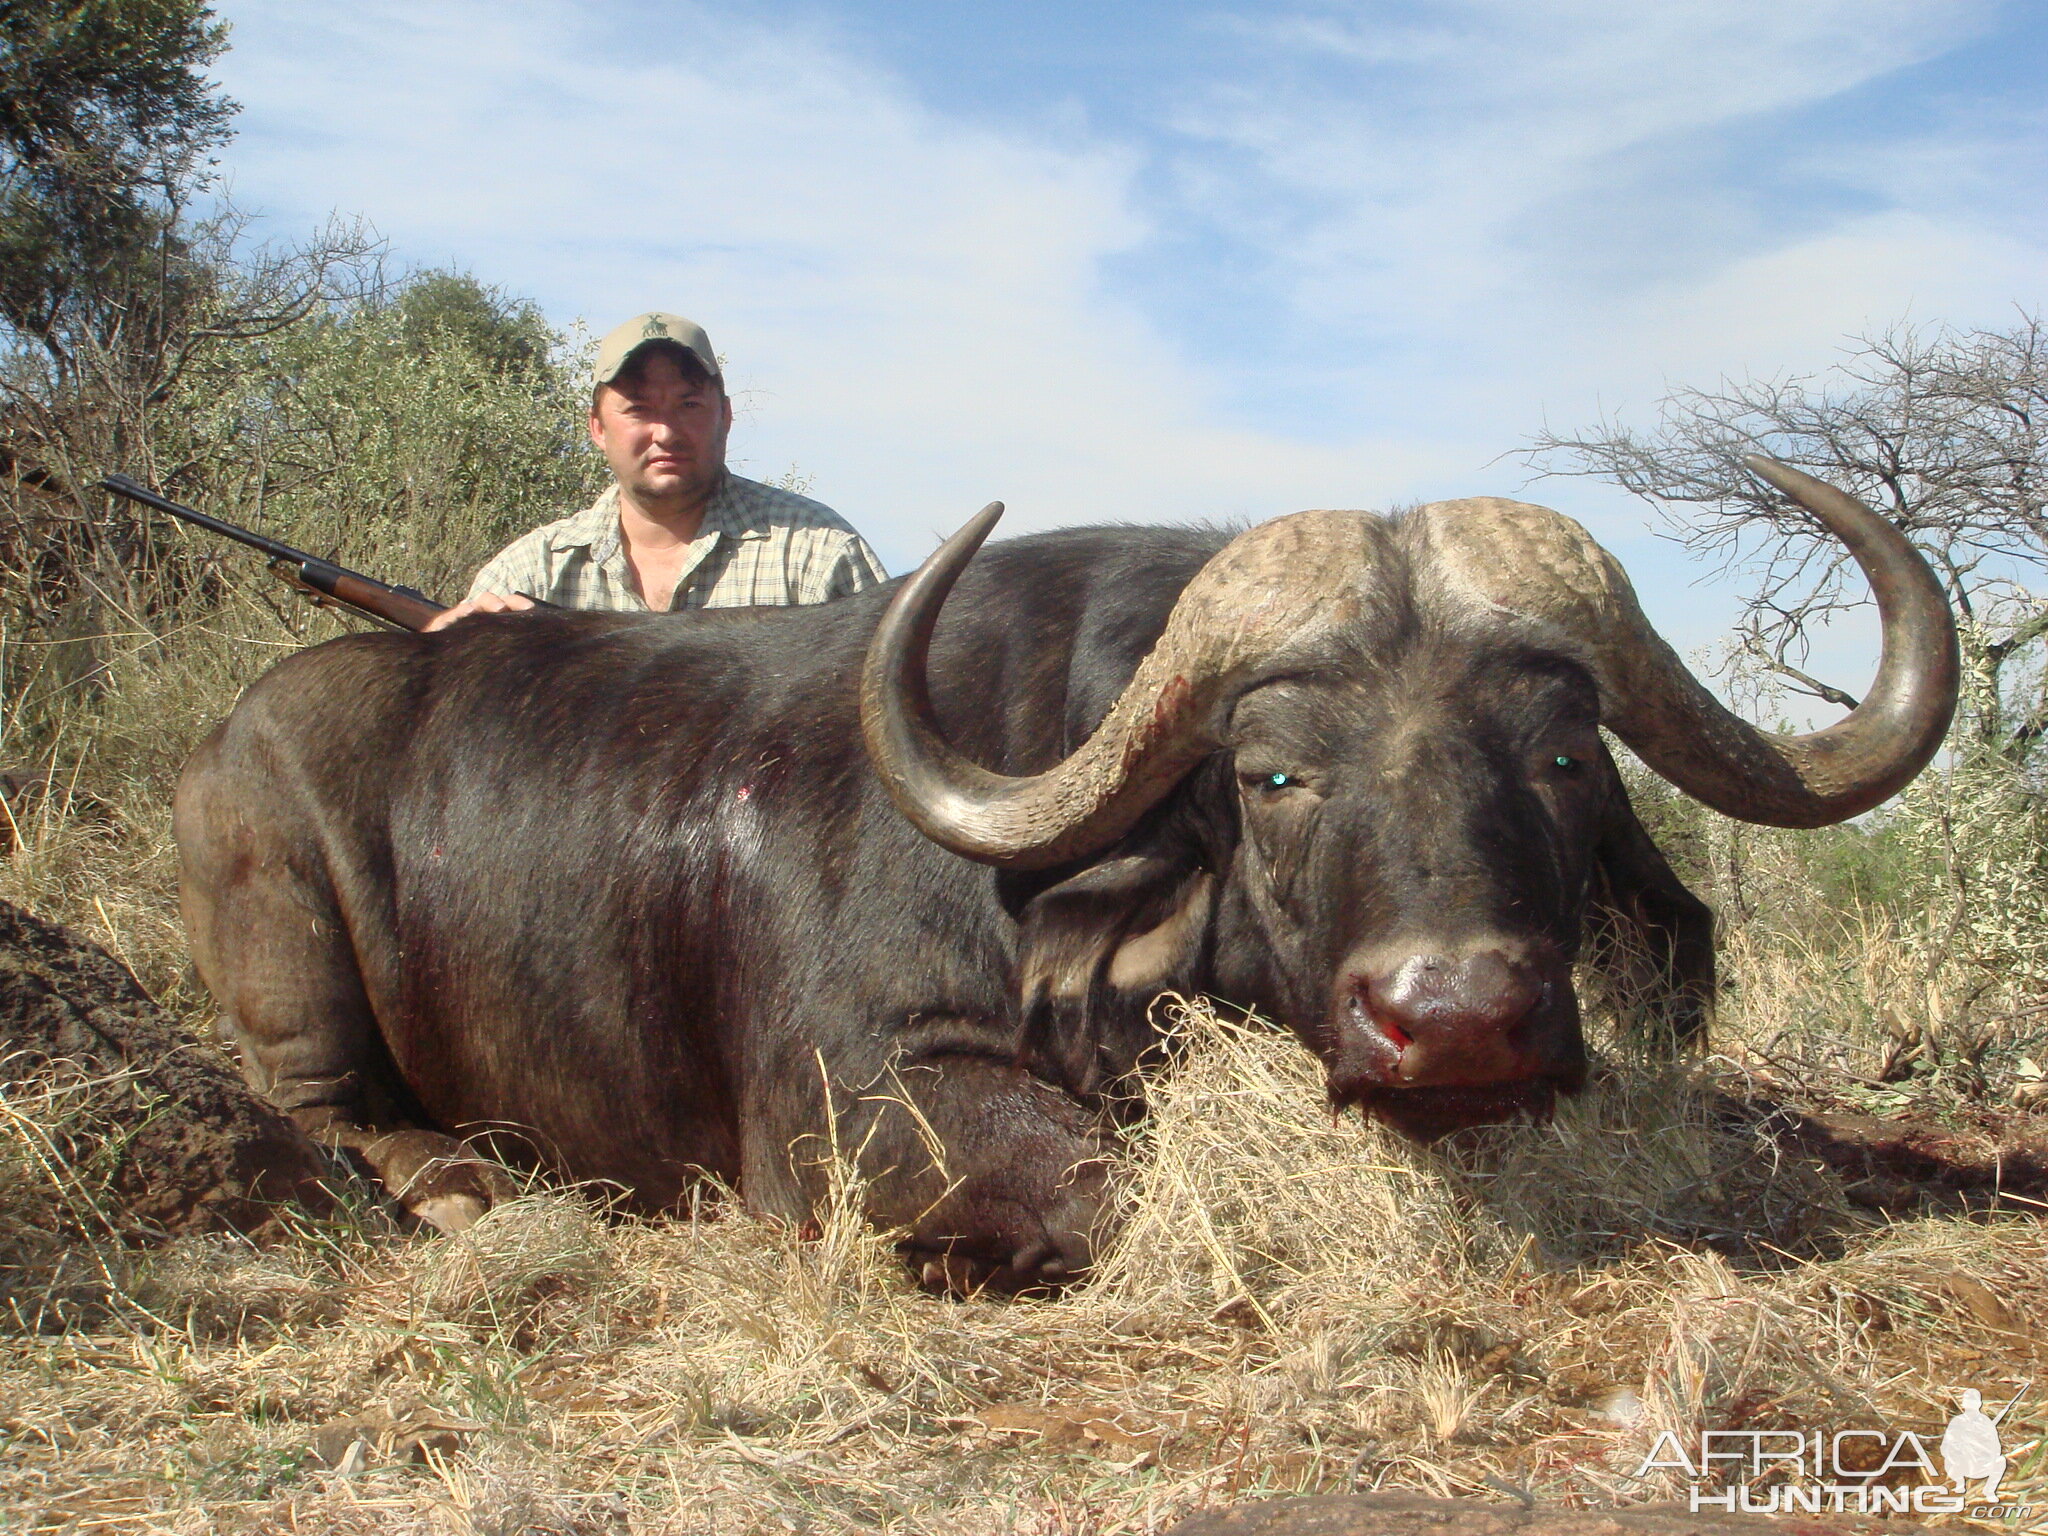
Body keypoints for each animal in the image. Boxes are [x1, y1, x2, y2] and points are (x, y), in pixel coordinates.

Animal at [184, 460, 1957, 1302]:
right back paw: (454, 1183)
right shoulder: (850, 1113)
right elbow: (1115, 1192)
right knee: (327, 1107)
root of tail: (232, 738)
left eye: (1569, 760)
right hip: (293, 965)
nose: (1455, 1020)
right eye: (1275, 777)